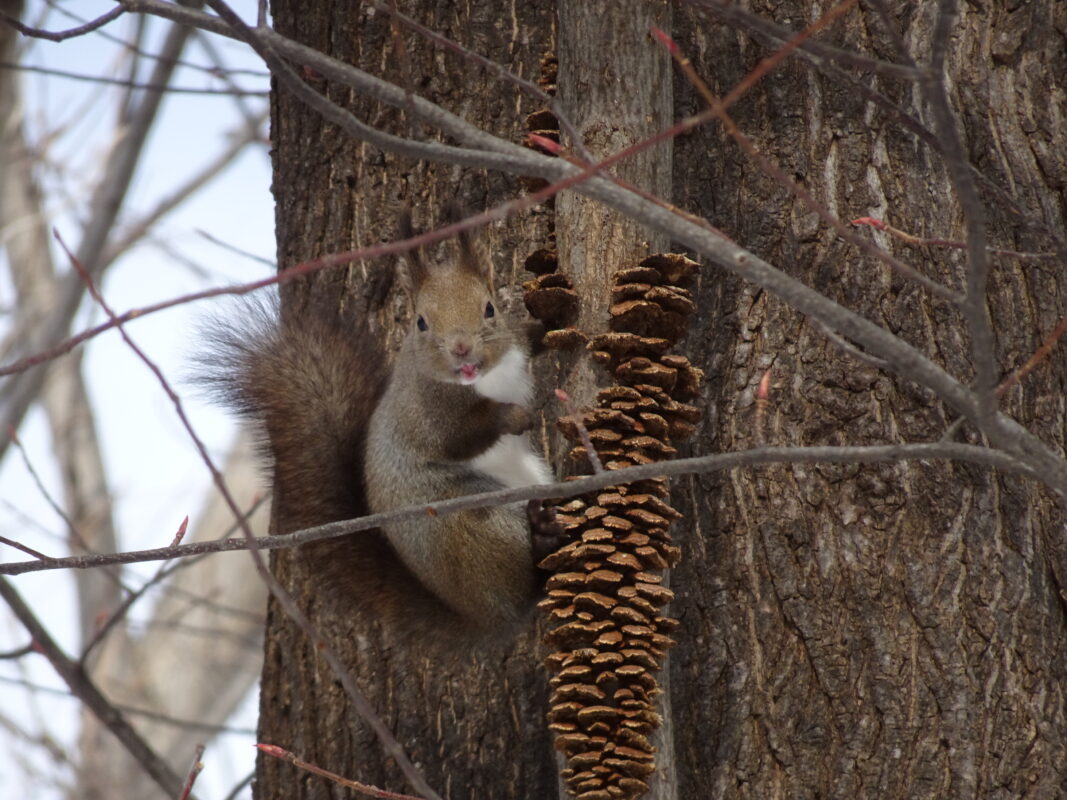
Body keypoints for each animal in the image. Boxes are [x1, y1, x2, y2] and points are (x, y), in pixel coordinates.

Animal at [202, 213, 563, 644]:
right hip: (473, 520)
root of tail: (476, 616)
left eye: (489, 309)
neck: (486, 378)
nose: (460, 349)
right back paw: (541, 541)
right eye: (421, 322)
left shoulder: (512, 349)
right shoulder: (428, 413)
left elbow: (527, 338)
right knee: (523, 588)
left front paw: (550, 321)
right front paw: (514, 417)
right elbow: (462, 436)